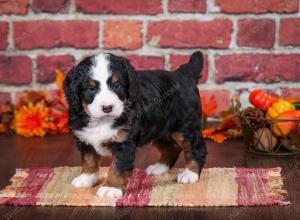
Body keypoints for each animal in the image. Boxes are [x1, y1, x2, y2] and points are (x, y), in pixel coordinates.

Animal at [63, 51, 206, 198]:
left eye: (117, 85)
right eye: (91, 88)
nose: (107, 107)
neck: (102, 121)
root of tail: (184, 74)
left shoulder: (123, 142)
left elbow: (117, 166)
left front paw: (111, 187)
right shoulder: (83, 137)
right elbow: (89, 159)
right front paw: (86, 177)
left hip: (186, 126)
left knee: (196, 149)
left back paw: (190, 173)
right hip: (157, 128)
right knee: (172, 147)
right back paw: (159, 168)